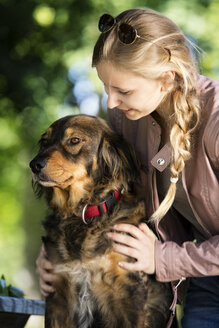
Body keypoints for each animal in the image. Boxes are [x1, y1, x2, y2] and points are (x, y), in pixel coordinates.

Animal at [29, 115, 173, 328]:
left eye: (74, 140)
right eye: (45, 141)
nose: (34, 165)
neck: (83, 214)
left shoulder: (129, 295)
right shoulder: (57, 297)